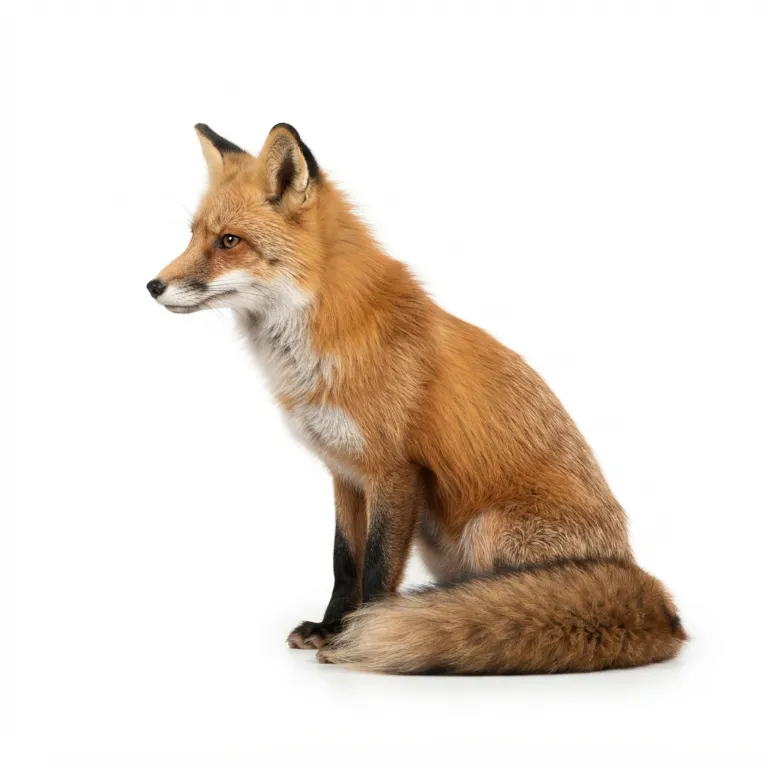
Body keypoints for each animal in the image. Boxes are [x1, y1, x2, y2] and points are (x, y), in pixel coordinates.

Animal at [147, 123, 686, 674]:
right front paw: (331, 626)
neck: (324, 343)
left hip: (489, 529)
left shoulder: (396, 471)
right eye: (193, 235)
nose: (153, 285)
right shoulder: (345, 472)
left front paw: (356, 636)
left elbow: (377, 567)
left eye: (229, 241)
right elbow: (344, 561)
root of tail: (661, 609)